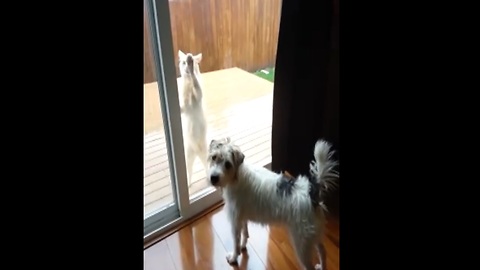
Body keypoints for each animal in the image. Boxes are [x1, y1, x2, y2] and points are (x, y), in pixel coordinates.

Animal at [208, 138, 340, 268]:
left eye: (228, 164)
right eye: (214, 157)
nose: (213, 178)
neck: (236, 176)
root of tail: (311, 191)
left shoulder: (235, 222)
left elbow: (236, 241)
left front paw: (234, 257)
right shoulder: (241, 217)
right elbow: (245, 233)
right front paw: (243, 246)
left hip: (302, 243)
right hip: (313, 235)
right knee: (322, 251)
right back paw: (322, 266)